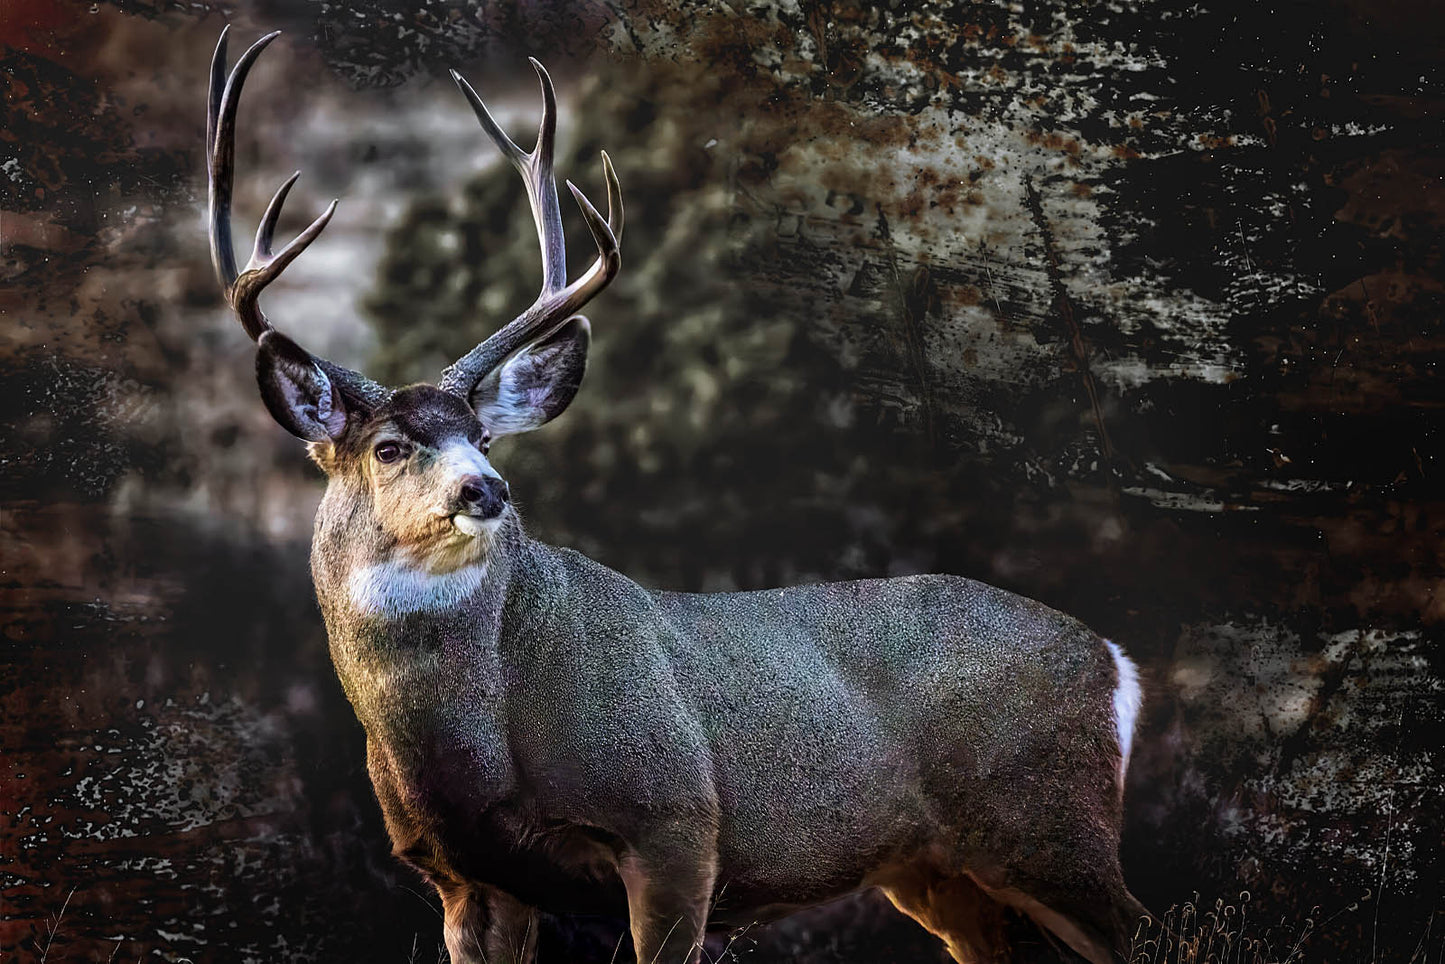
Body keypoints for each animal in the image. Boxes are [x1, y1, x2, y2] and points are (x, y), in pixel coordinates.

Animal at [205, 26, 1154, 964]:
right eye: (391, 447)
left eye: (482, 436)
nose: (487, 489)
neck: (469, 744)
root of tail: (1114, 660)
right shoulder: (459, 879)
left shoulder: (674, 820)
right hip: (939, 874)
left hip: (1046, 824)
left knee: (1136, 924)